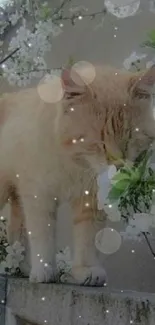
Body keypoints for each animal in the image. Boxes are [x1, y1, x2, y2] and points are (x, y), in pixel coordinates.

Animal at [0, 64, 155, 284]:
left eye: (130, 139)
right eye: (99, 143)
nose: (117, 165)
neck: (75, 166)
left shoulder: (90, 201)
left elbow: (87, 237)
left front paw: (85, 269)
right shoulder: (39, 196)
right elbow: (42, 233)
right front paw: (44, 269)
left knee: (16, 231)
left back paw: (21, 267)